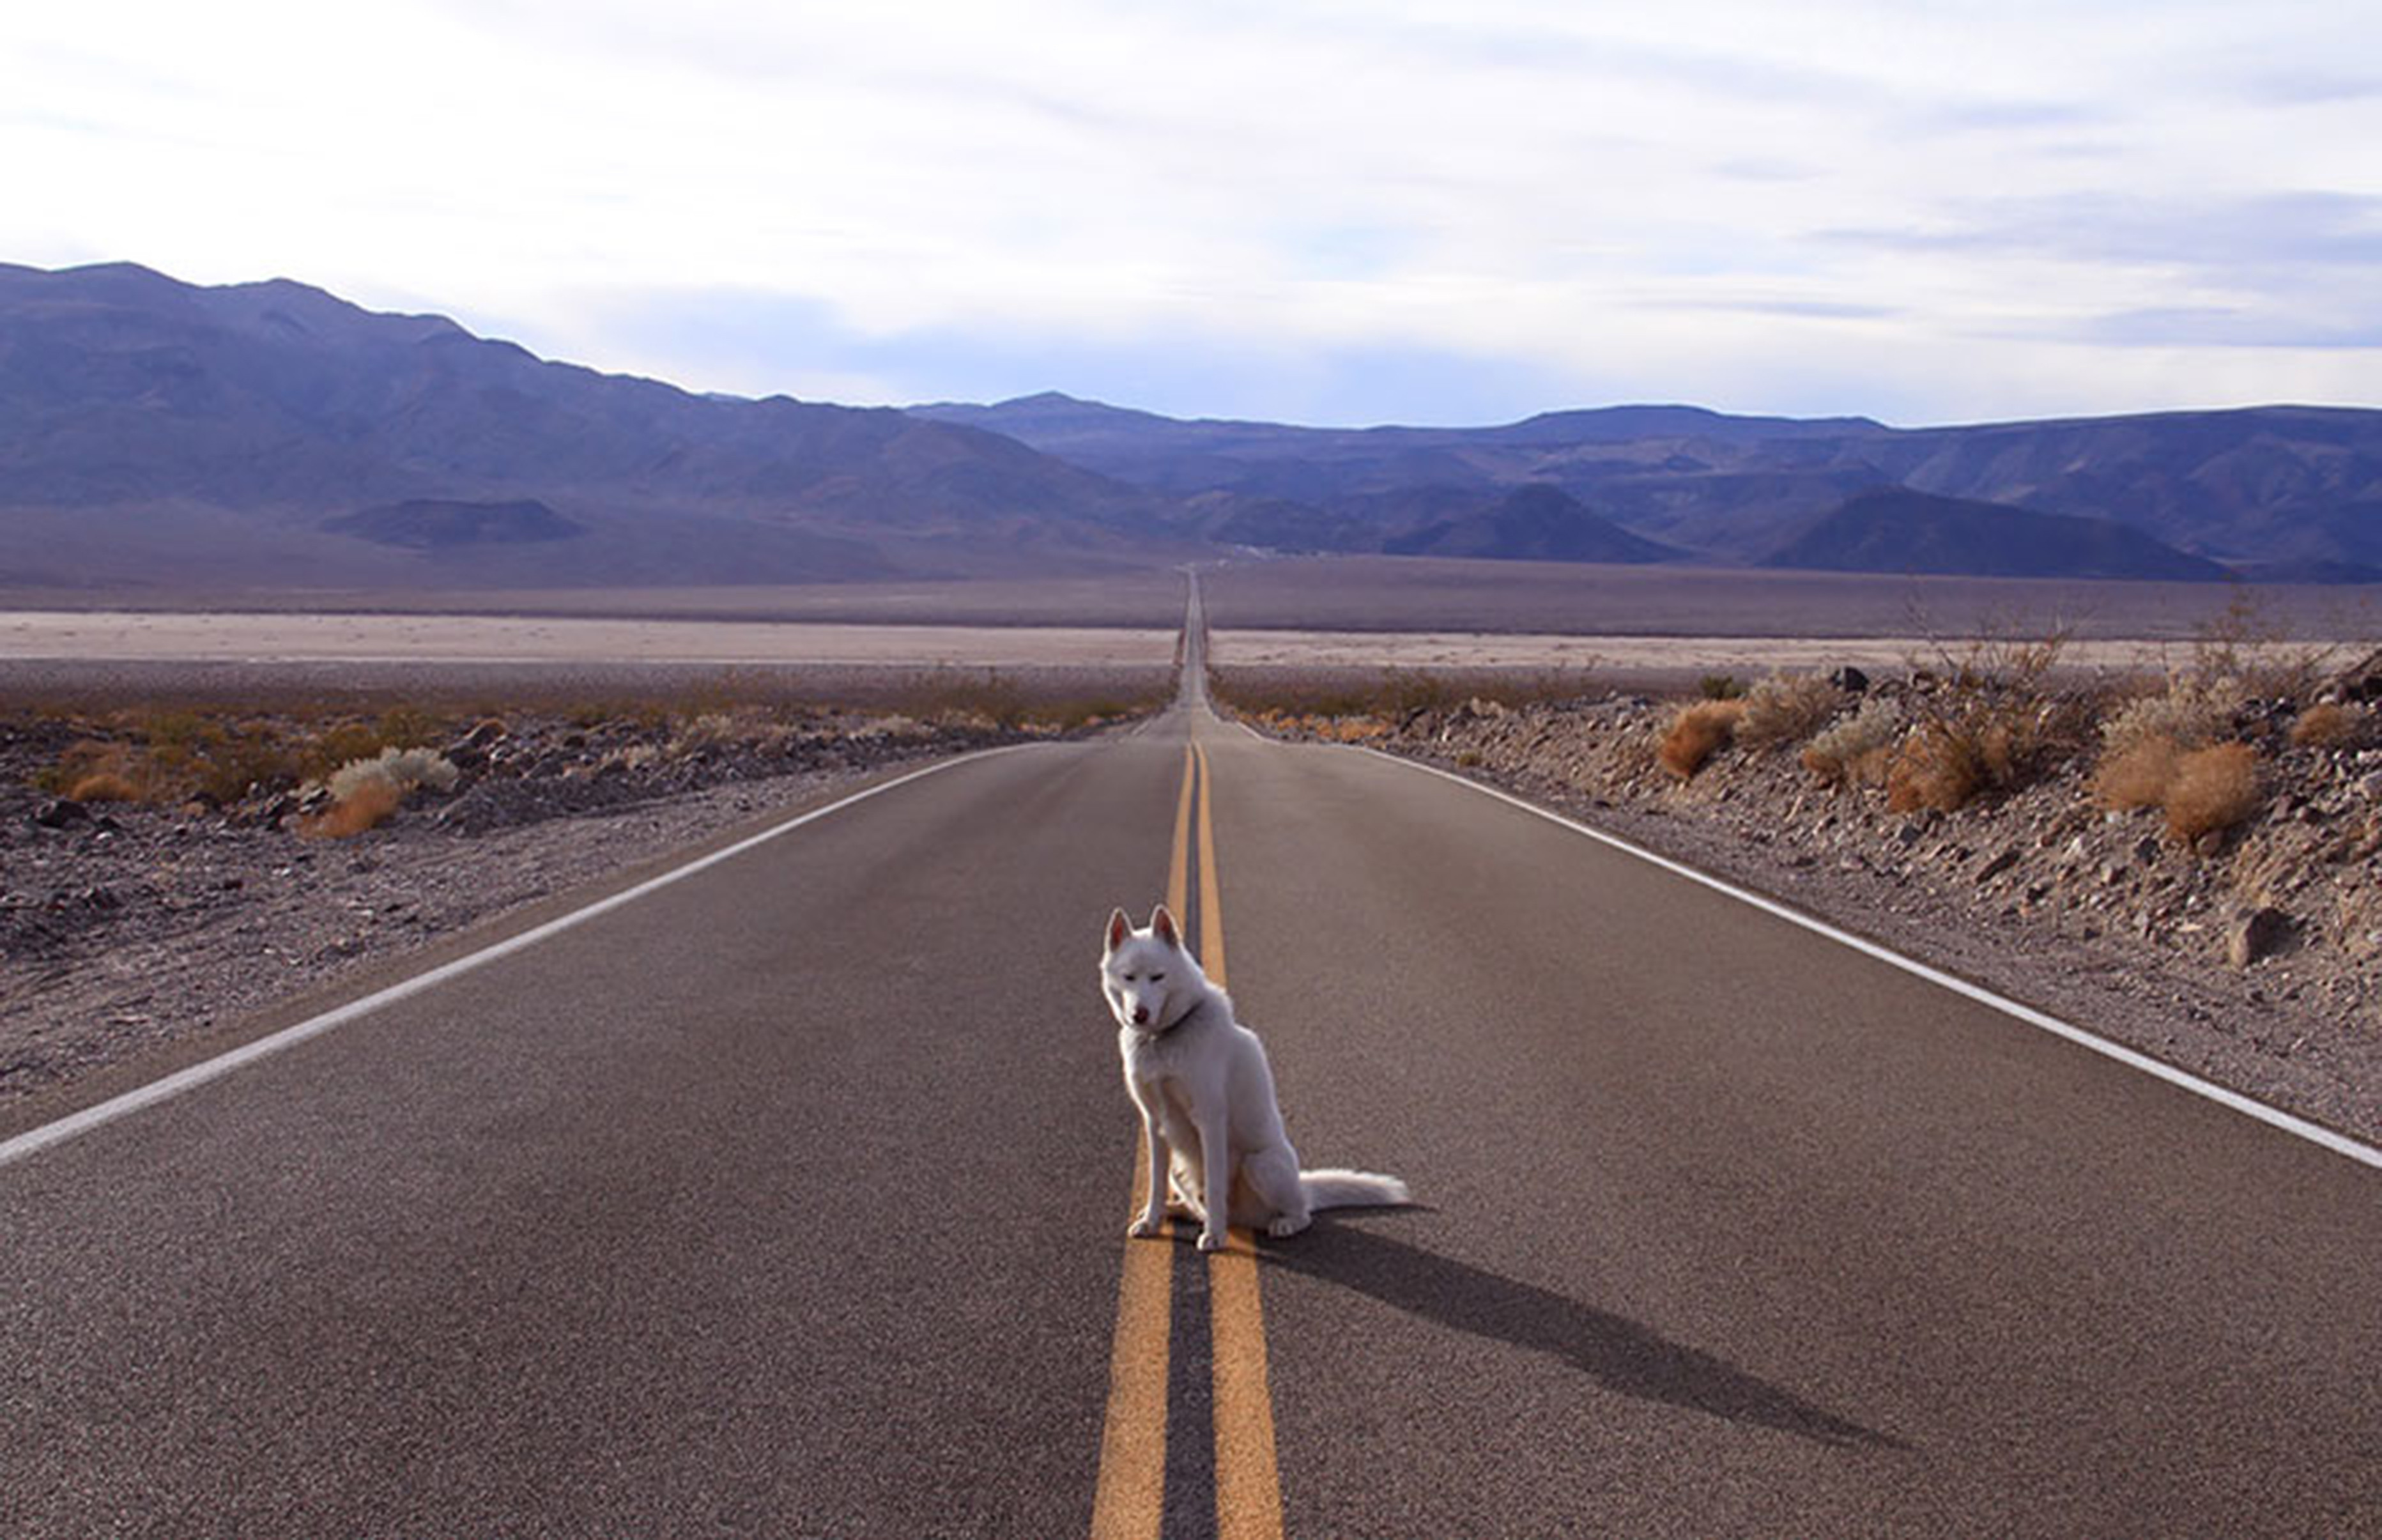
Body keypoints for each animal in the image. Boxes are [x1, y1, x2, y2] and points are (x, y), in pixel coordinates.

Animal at [1100, 905, 1401, 1258]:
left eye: (1158, 977)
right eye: (1129, 977)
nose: (1140, 1014)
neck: (1162, 1039)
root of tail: (1304, 1187)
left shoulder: (1210, 1118)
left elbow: (1216, 1185)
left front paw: (1214, 1236)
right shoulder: (1154, 1123)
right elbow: (1155, 1184)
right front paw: (1152, 1221)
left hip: (1261, 1165)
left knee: (1300, 1214)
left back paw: (1281, 1223)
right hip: (1182, 1169)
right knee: (1196, 1203)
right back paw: (1179, 1210)